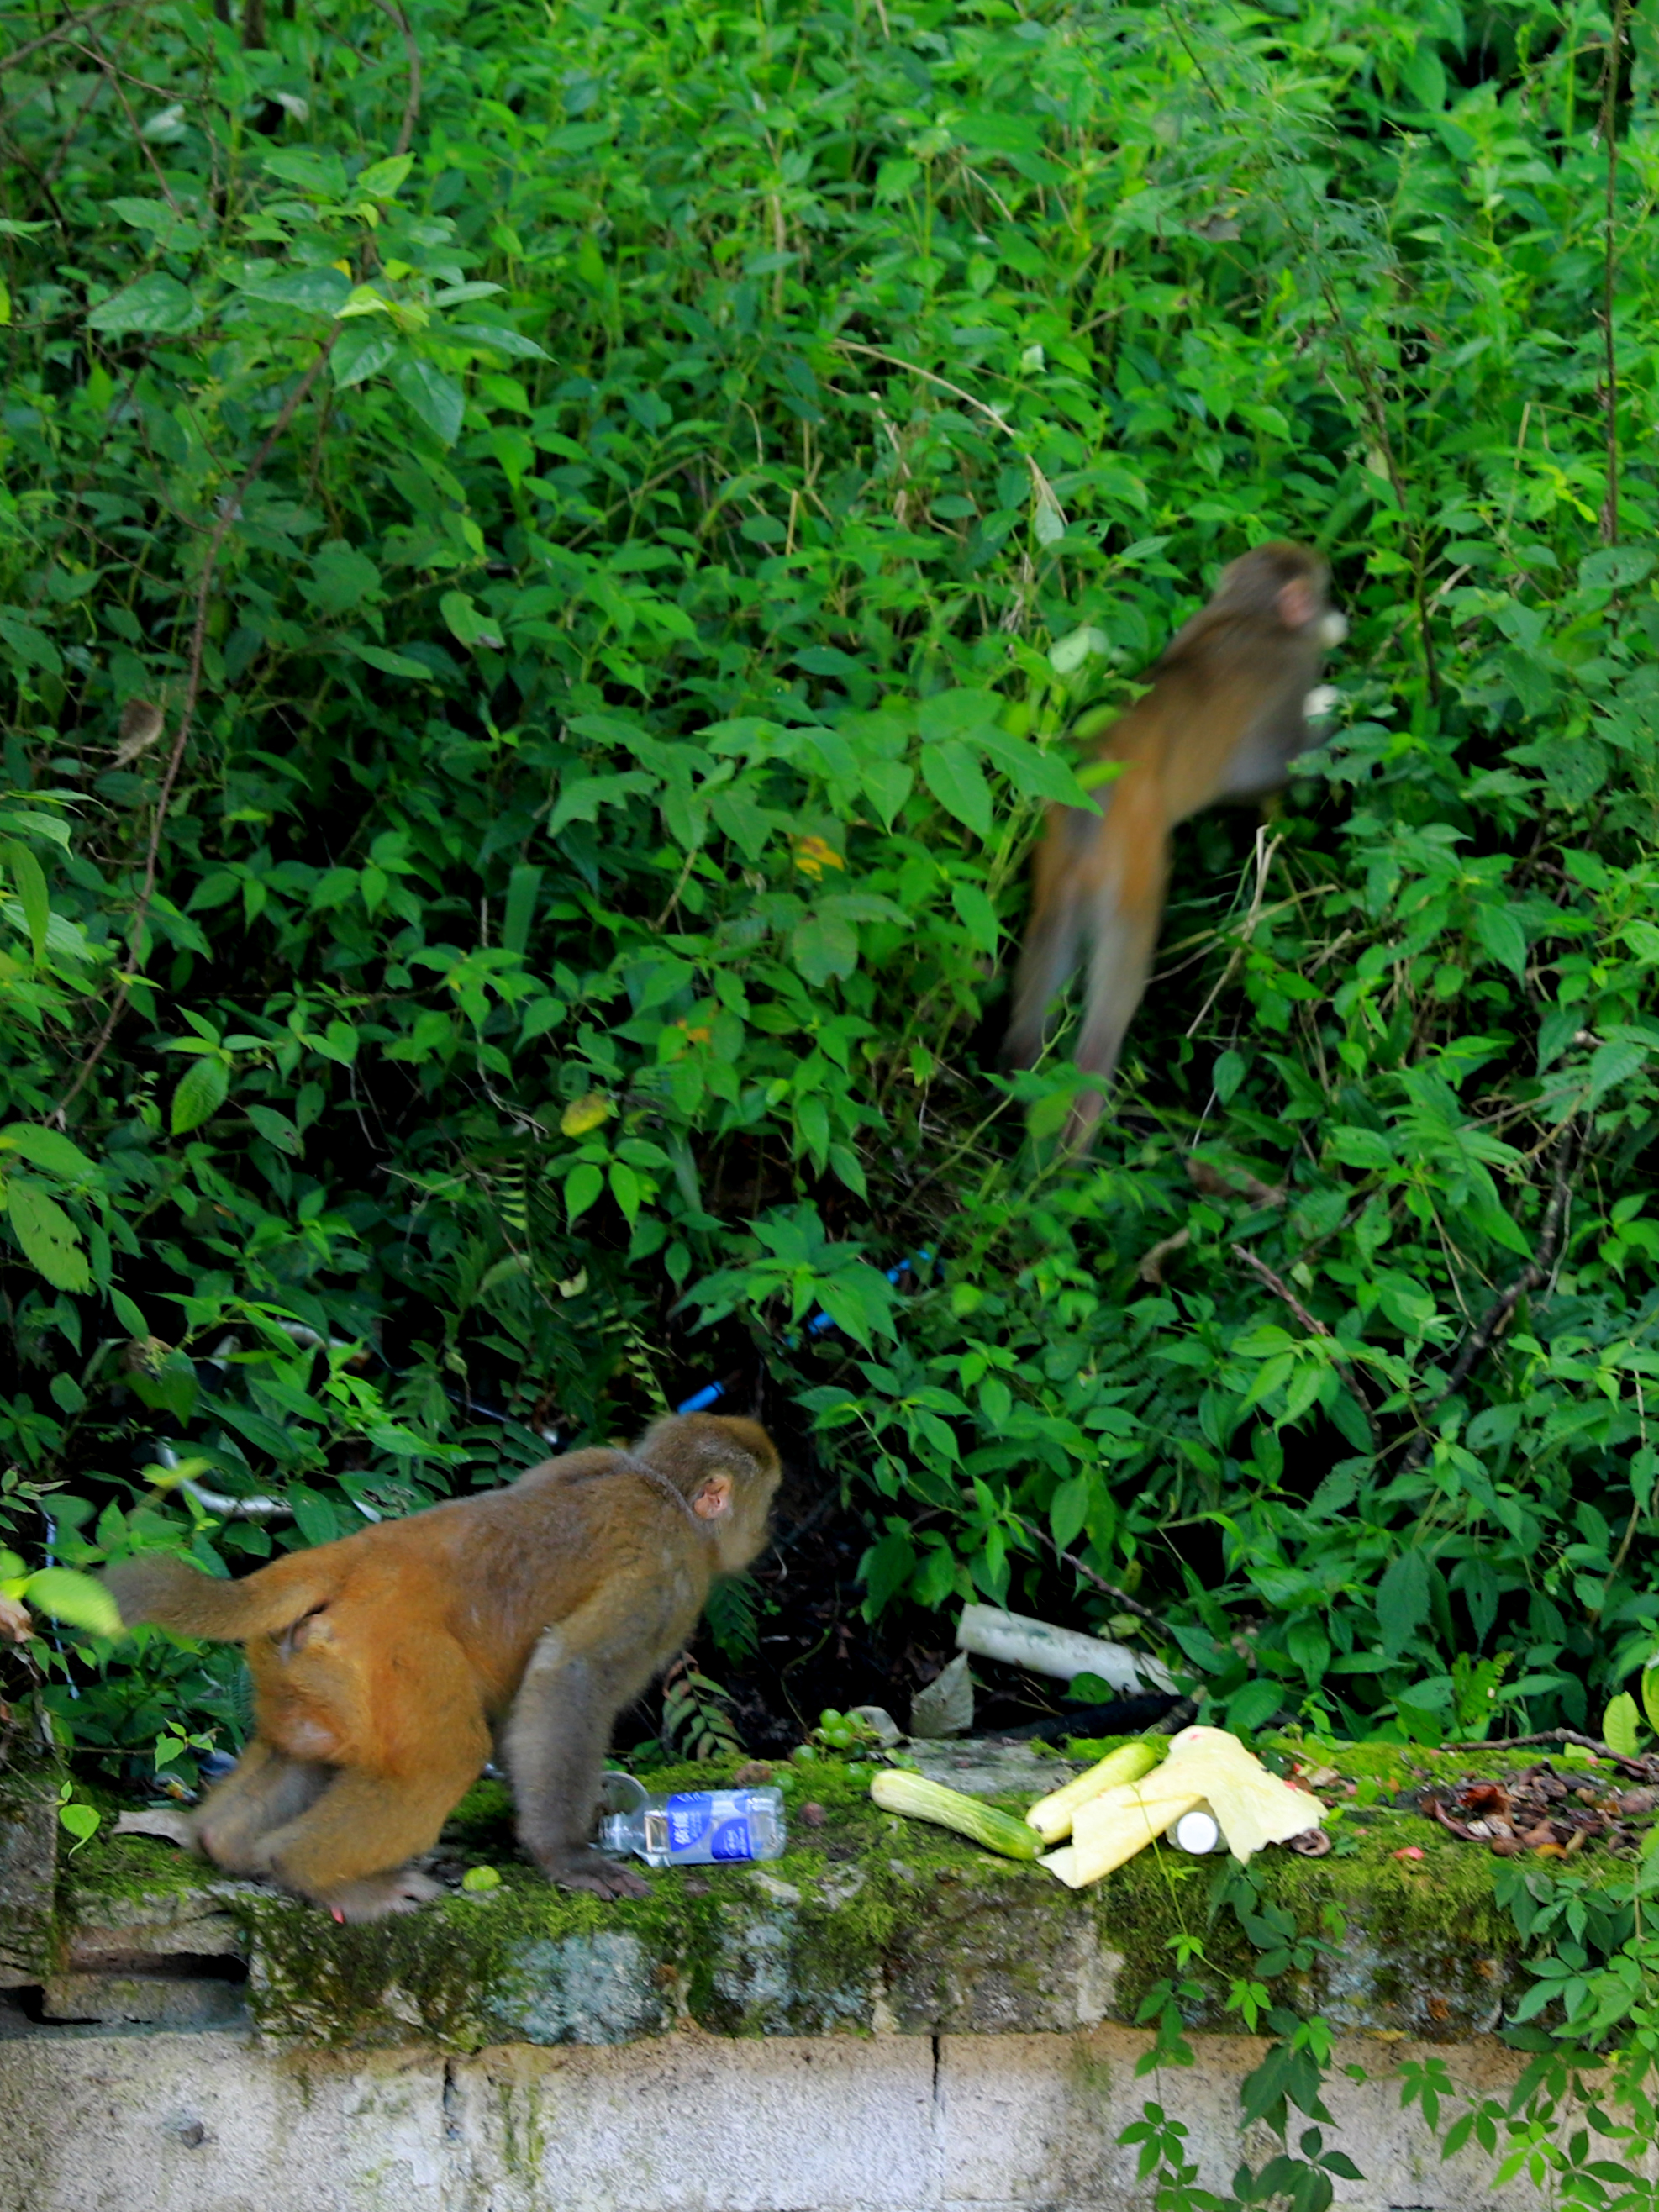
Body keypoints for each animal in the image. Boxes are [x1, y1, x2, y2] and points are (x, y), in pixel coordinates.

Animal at [102, 1415, 778, 1920]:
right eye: (766, 1503)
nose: (766, 1535)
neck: (662, 1489)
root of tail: (347, 1558)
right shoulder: (669, 1575)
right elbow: (570, 1672)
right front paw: (568, 1855)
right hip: (390, 1653)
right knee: (448, 1754)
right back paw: (318, 1874)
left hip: (299, 1666)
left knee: (305, 1748)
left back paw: (230, 1843)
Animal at [1009, 544, 1345, 1150]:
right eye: (1321, 589)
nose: (1331, 608)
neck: (1247, 614)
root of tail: (1096, 779)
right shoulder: (1287, 669)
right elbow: (1264, 769)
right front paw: (1331, 715)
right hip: (1132, 853)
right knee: (1124, 958)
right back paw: (1079, 1121)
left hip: (1055, 843)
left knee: (1047, 938)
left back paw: (1026, 1078)